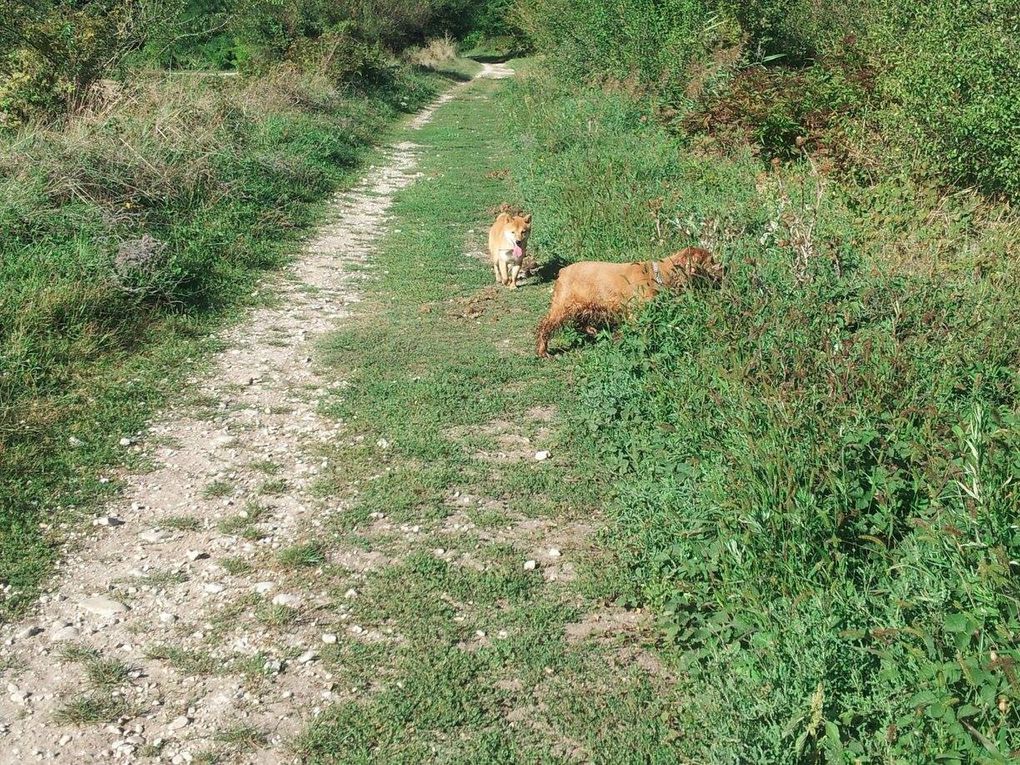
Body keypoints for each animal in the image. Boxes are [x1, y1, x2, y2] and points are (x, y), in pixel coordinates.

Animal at [538, 249, 722, 361]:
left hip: (583, 304)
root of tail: (562, 271)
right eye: (711, 260)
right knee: (545, 326)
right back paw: (543, 351)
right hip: (562, 305)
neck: (656, 274)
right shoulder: (636, 312)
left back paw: (592, 330)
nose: (724, 268)